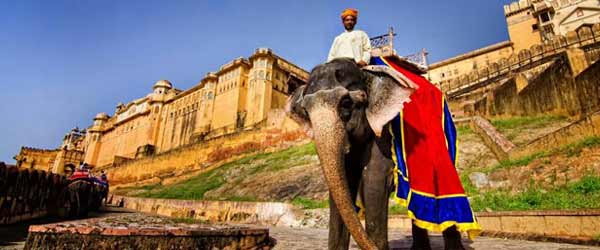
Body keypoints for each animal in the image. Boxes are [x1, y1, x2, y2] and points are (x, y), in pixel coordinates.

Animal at [288, 58, 466, 250]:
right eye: (305, 111)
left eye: (346, 103)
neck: (366, 73)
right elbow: (344, 185)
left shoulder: (383, 133)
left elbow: (374, 182)